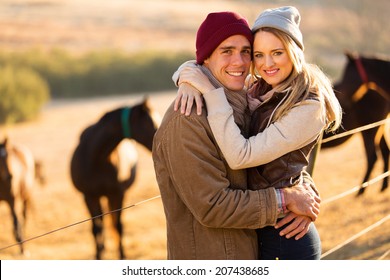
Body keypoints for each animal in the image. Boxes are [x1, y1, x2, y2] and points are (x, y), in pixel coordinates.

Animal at [70, 98, 160, 260]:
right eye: (149, 123)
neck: (97, 158)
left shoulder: (118, 194)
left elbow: (118, 226)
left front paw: (122, 255)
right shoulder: (89, 196)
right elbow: (96, 228)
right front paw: (98, 256)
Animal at [322, 51, 388, 196]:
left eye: (346, 74)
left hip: (369, 130)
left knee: (372, 156)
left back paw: (360, 192)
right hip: (378, 127)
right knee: (385, 151)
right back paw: (382, 188)